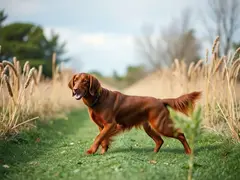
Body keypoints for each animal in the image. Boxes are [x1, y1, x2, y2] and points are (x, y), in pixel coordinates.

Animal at [67, 72, 201, 154]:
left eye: (85, 81)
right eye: (75, 81)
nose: (75, 90)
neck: (98, 99)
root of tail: (160, 100)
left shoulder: (110, 124)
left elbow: (98, 137)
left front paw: (91, 151)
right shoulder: (102, 126)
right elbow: (103, 139)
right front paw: (102, 152)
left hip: (161, 125)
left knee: (181, 135)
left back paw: (189, 152)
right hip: (149, 127)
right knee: (160, 140)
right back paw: (153, 154)